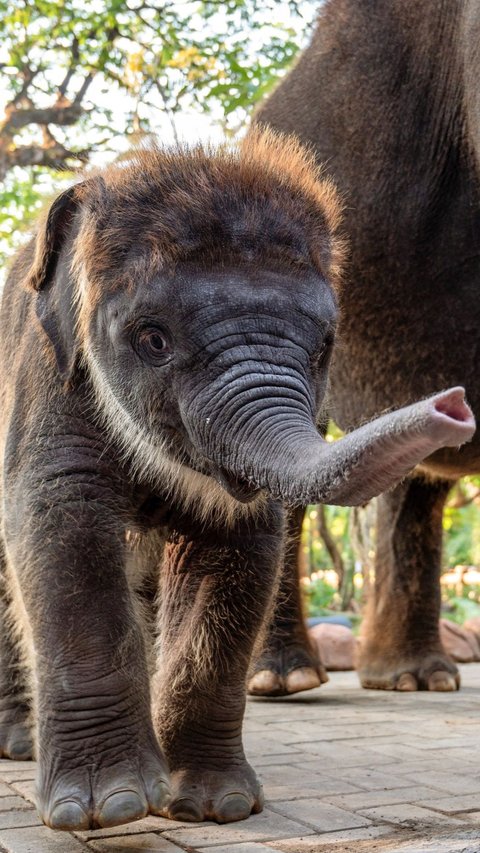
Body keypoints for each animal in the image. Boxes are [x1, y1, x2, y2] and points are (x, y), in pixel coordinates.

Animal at [0, 130, 474, 828]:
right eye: (153, 340)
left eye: (325, 345)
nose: (455, 404)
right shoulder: (47, 375)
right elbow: (62, 524)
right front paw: (111, 808)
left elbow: (243, 547)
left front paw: (213, 806)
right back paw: (20, 745)